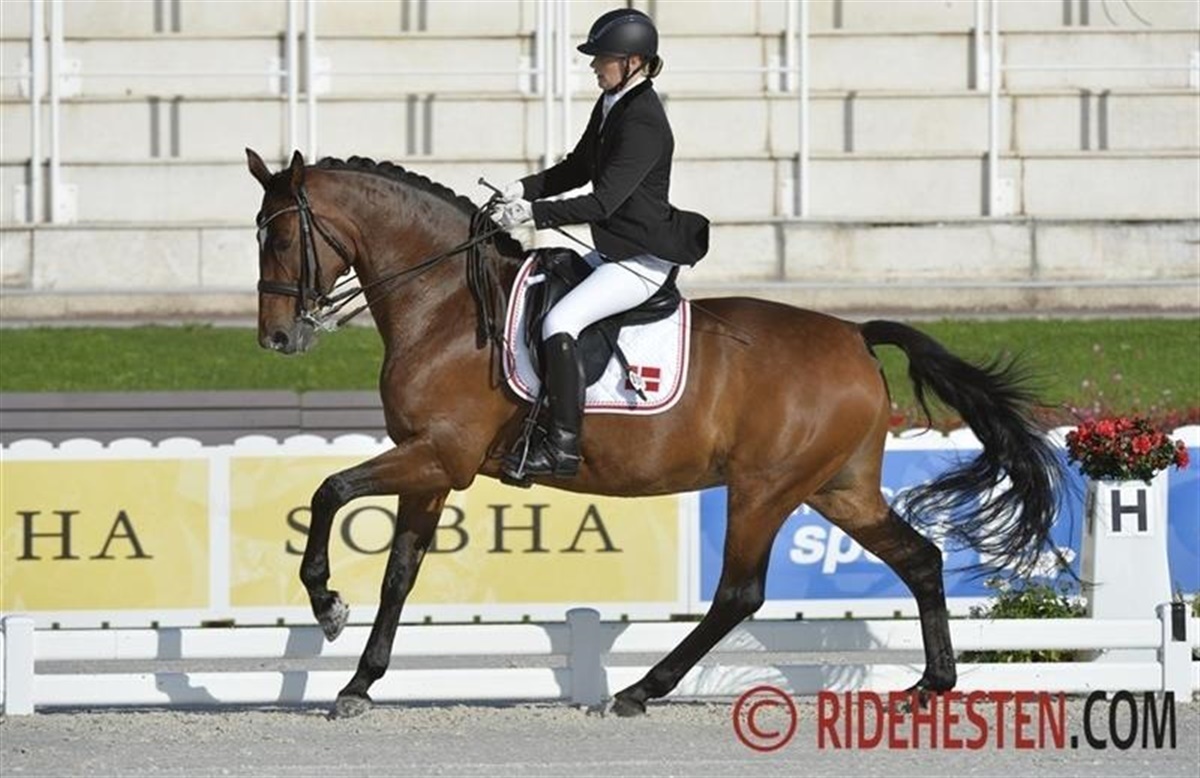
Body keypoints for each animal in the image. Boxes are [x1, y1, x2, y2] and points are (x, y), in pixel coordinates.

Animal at [245, 148, 1065, 720]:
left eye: (281, 239)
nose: (278, 339)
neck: (445, 303)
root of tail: (856, 336)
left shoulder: (437, 455)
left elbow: (329, 491)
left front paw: (327, 607)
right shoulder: (434, 467)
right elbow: (399, 572)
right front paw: (358, 683)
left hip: (765, 488)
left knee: (739, 592)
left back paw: (641, 689)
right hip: (838, 489)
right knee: (920, 560)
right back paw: (931, 684)